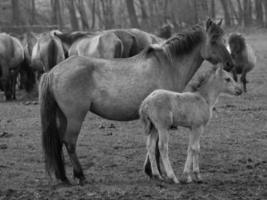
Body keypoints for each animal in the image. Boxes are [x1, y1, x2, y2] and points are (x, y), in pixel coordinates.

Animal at [39, 18, 234, 184]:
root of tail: (54, 71)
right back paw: (80, 176)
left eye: (224, 39)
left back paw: (64, 177)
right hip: (75, 117)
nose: (230, 64)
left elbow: (151, 144)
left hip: (63, 116)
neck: (168, 64)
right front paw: (160, 173)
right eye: (214, 40)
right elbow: (157, 146)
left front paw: (151, 172)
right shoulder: (160, 120)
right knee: (70, 142)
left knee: (59, 141)